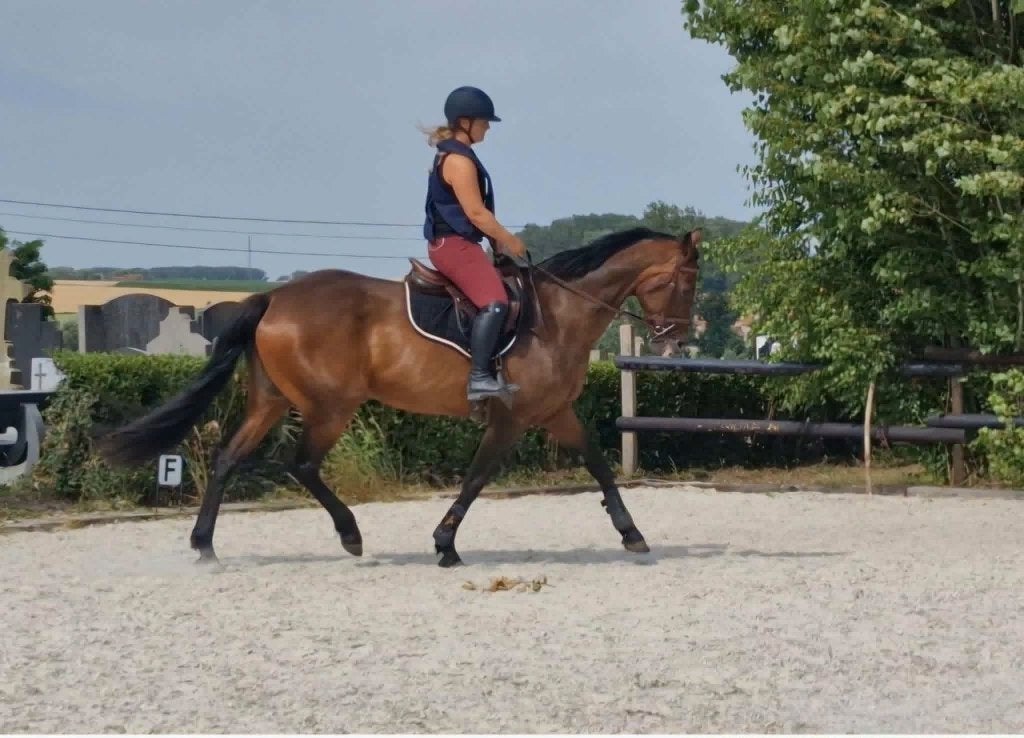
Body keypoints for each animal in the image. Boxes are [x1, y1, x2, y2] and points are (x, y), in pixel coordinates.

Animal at [96, 226, 701, 567]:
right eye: (687, 281)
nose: (677, 339)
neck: (557, 315)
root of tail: (273, 299)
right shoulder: (512, 419)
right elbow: (477, 478)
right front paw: (445, 544)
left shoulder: (554, 412)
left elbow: (598, 463)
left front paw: (631, 534)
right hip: (330, 407)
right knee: (302, 464)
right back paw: (351, 536)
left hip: (271, 401)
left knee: (227, 459)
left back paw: (204, 545)